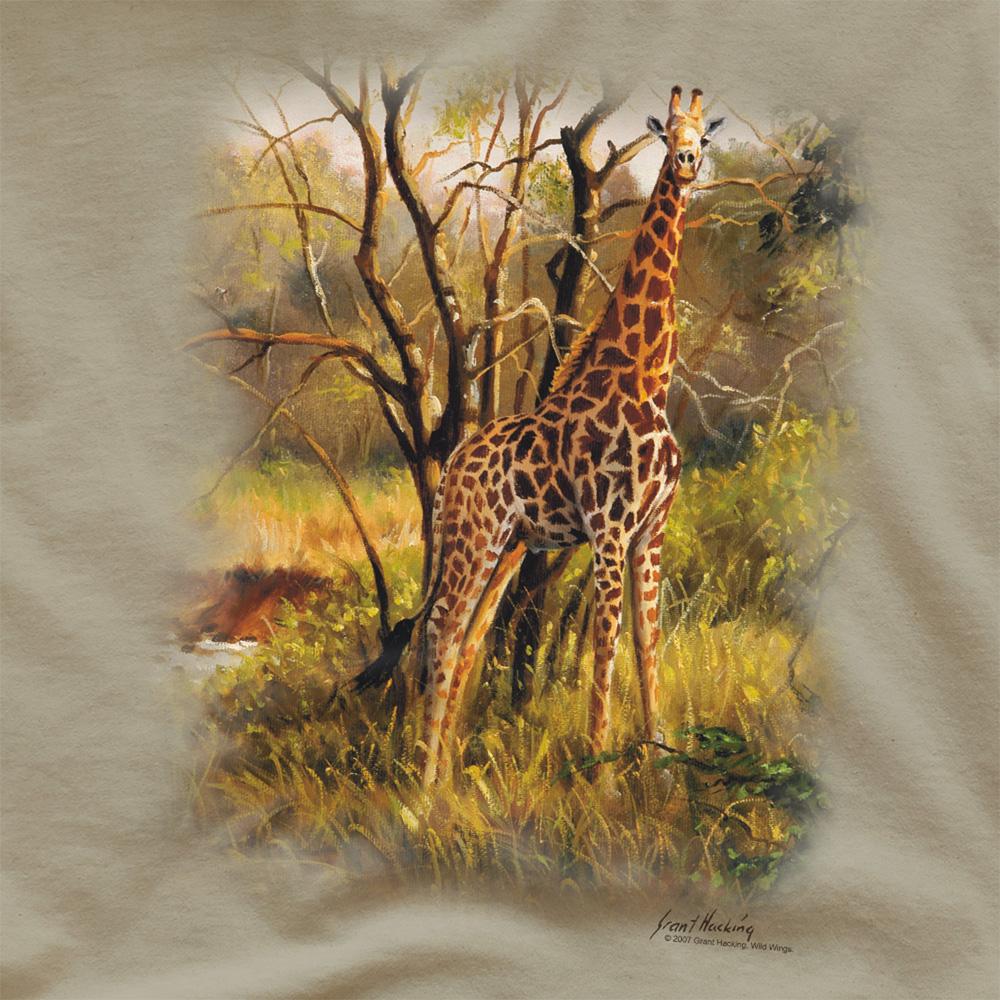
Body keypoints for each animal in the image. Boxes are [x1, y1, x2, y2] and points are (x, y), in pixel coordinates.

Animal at [356, 87, 724, 787]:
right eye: (668, 135)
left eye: (706, 136)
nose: (688, 163)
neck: (646, 378)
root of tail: (453, 464)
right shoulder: (609, 530)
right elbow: (606, 646)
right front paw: (602, 779)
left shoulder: (651, 530)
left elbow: (647, 643)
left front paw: (662, 773)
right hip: (474, 539)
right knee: (441, 628)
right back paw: (424, 781)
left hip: (507, 545)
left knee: (468, 639)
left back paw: (445, 779)